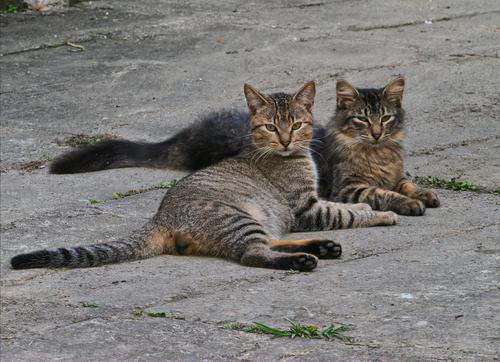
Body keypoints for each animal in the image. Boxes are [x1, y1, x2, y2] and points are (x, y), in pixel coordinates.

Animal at [10, 82, 398, 272]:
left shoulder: (306, 205)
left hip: (257, 221)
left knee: (268, 243)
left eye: (298, 124)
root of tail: (160, 218)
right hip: (238, 217)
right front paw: (378, 212)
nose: (287, 140)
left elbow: (340, 206)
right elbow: (343, 211)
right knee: (253, 253)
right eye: (272, 127)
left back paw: (320, 248)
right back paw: (303, 259)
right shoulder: (304, 207)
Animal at [47, 76, 438, 215]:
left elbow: (405, 182)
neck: (378, 153)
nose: (377, 132)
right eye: (361, 120)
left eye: (386, 118)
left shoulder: (397, 172)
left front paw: (423, 193)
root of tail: (191, 133)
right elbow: (382, 193)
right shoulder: (348, 188)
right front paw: (409, 203)